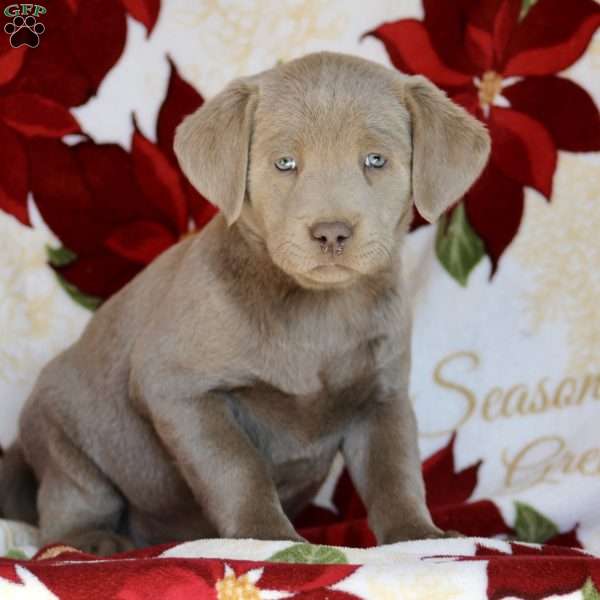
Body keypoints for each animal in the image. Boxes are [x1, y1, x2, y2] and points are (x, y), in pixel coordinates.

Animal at [0, 51, 488, 552]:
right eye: (285, 163)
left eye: (376, 160)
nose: (331, 232)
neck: (318, 311)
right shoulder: (179, 389)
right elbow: (237, 466)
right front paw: (264, 536)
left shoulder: (382, 397)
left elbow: (395, 473)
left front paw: (419, 536)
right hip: (63, 442)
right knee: (66, 512)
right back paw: (97, 542)